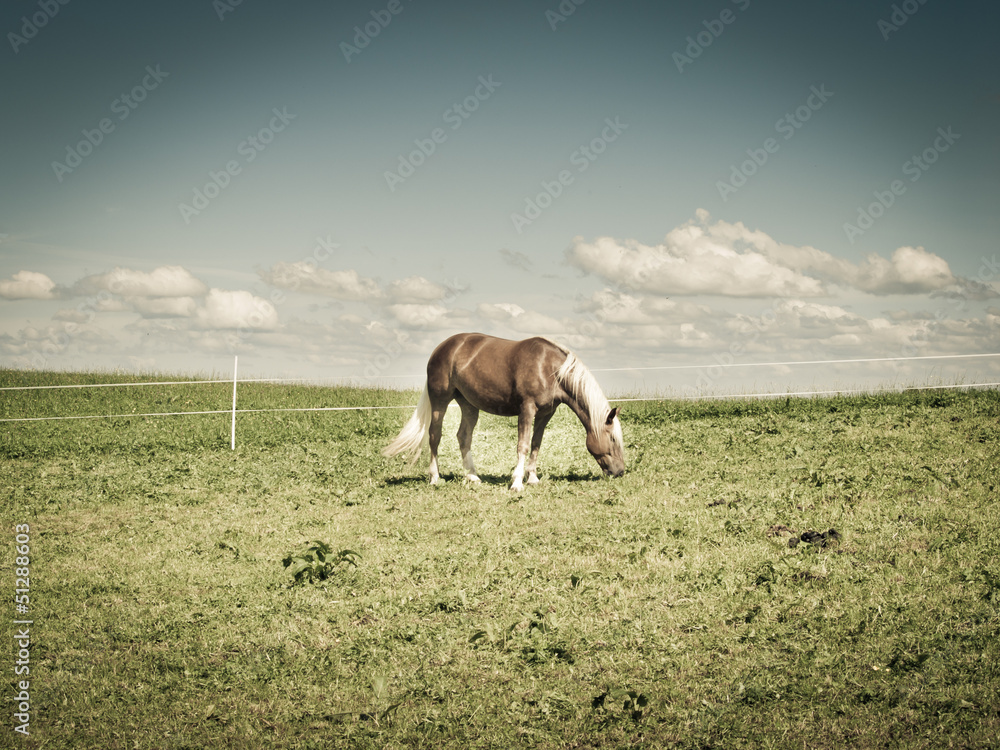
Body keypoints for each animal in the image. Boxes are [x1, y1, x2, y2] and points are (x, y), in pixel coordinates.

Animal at [382, 332, 624, 490]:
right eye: (613, 438)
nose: (620, 471)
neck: (550, 369)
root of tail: (441, 348)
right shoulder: (527, 409)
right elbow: (523, 445)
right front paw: (517, 482)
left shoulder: (545, 414)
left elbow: (536, 444)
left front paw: (532, 478)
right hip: (440, 401)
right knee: (434, 436)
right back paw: (434, 478)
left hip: (469, 405)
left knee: (463, 437)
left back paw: (472, 476)